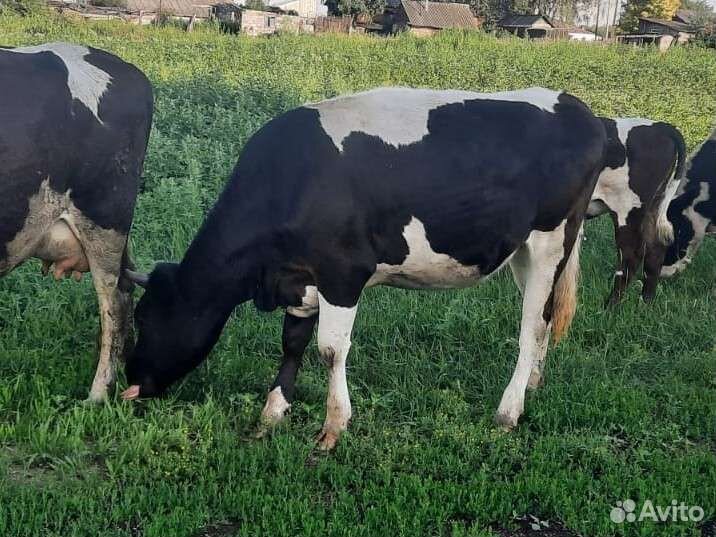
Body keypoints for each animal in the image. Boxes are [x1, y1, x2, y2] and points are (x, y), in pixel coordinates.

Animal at [121, 87, 608, 449]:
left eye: (143, 318)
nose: (130, 383)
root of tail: (577, 106)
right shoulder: (300, 278)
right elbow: (292, 342)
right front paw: (273, 412)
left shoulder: (342, 273)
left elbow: (330, 350)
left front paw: (333, 426)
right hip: (522, 251)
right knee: (546, 318)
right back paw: (533, 386)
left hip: (551, 240)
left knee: (533, 326)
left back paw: (509, 411)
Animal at [586, 118, 686, 305]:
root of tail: (659, 126)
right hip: (653, 206)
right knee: (655, 249)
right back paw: (646, 301)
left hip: (627, 209)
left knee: (631, 255)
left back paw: (610, 305)